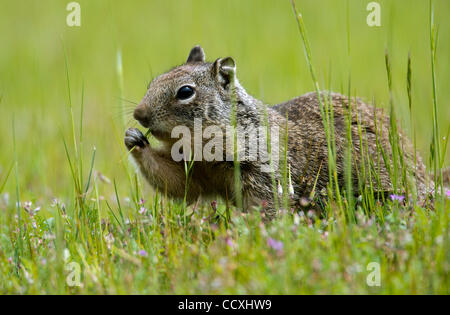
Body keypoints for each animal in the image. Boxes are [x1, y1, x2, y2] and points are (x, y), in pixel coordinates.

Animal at [123, 45, 428, 220]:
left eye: (185, 92)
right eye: (153, 82)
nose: (139, 114)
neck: (204, 149)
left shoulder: (265, 171)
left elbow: (269, 207)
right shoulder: (195, 169)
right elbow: (180, 183)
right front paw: (134, 140)